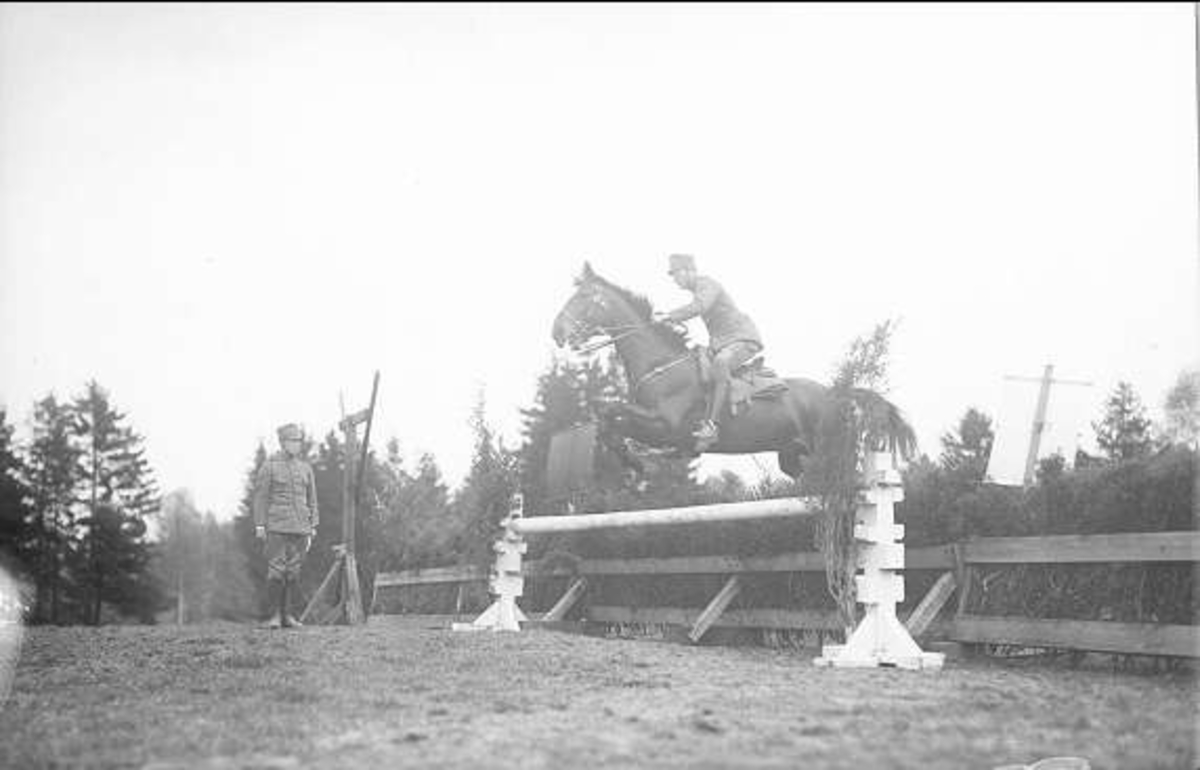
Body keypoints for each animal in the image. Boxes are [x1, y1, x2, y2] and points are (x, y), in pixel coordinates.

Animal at [550, 262, 916, 481]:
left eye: (583, 297)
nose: (556, 332)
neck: (660, 367)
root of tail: (837, 393)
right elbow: (605, 417)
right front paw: (635, 464)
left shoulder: (665, 425)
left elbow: (611, 412)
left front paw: (641, 465)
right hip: (793, 456)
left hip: (828, 450)